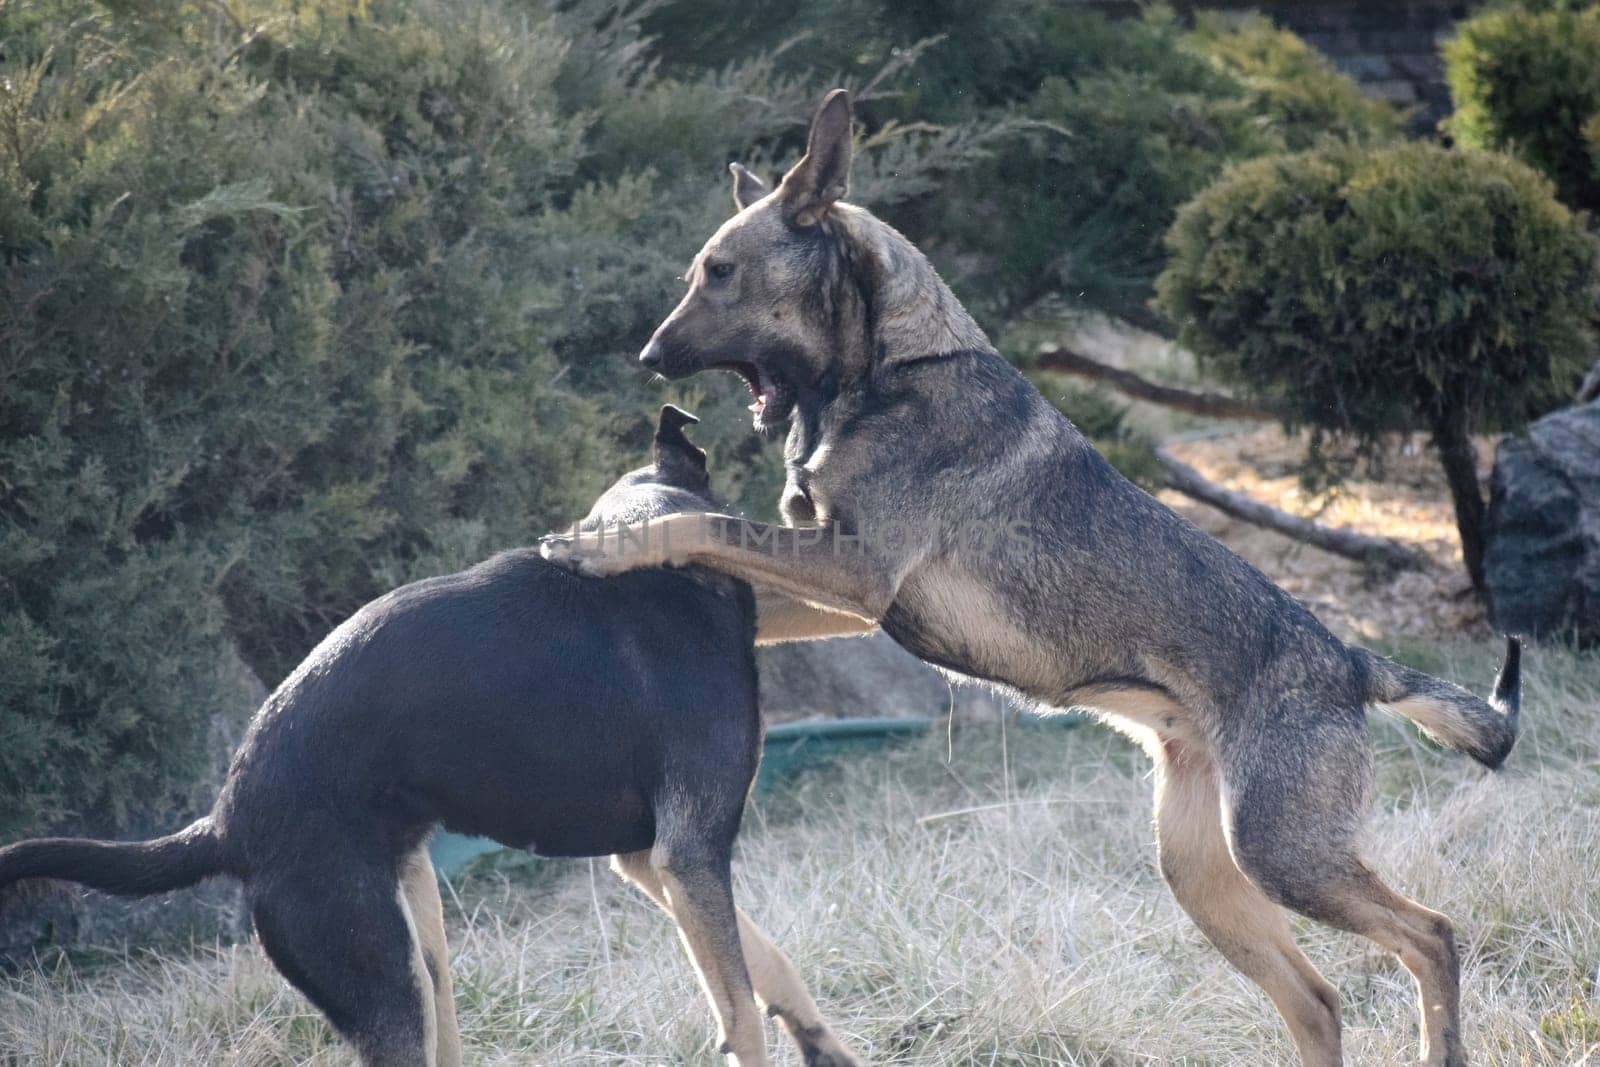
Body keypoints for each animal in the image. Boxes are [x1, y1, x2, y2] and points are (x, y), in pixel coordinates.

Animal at [547, 87, 1523, 1062]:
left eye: (719, 273)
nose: (646, 359)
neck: (890, 367)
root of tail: (1351, 662)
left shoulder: (855, 571)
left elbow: (700, 520)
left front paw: (600, 544)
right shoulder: (842, 591)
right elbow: (717, 551)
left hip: (1284, 853)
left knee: (1431, 934)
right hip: (1204, 870)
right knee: (1318, 998)